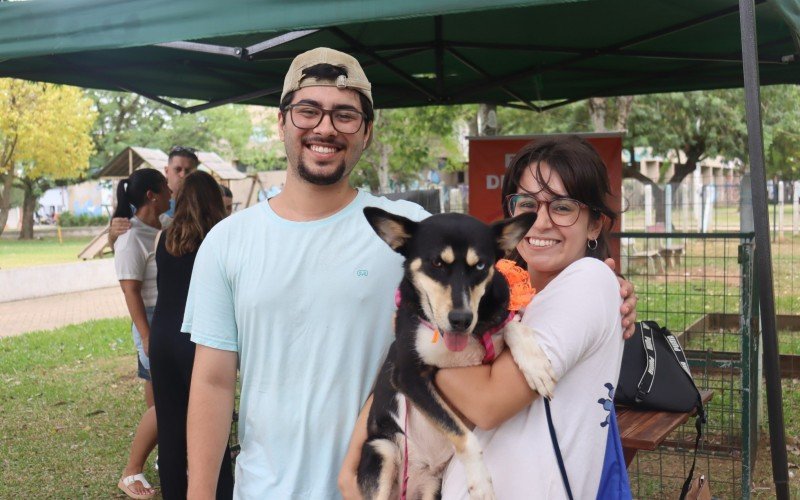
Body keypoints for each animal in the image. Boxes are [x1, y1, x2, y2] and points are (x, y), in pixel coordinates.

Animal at [360, 209, 556, 500]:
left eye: (480, 266)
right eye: (437, 264)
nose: (461, 320)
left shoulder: (494, 327)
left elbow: (514, 326)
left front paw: (536, 367)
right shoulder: (407, 376)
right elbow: (464, 436)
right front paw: (481, 481)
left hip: (432, 487)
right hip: (382, 449)